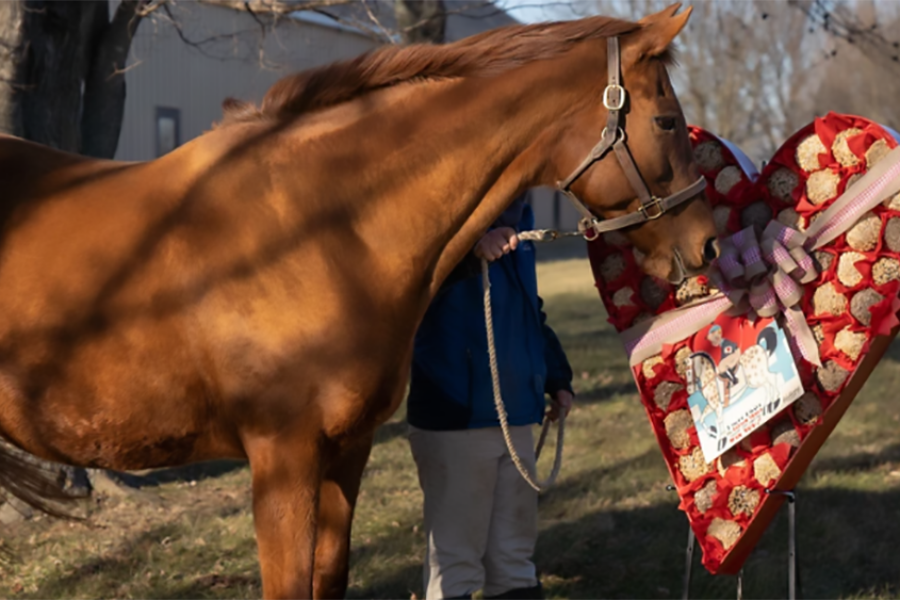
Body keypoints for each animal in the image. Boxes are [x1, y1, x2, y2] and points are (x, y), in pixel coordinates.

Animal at [0, 4, 716, 599]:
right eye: (666, 120)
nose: (707, 244)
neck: (312, 228)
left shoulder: (346, 451)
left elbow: (329, 578)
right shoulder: (281, 462)